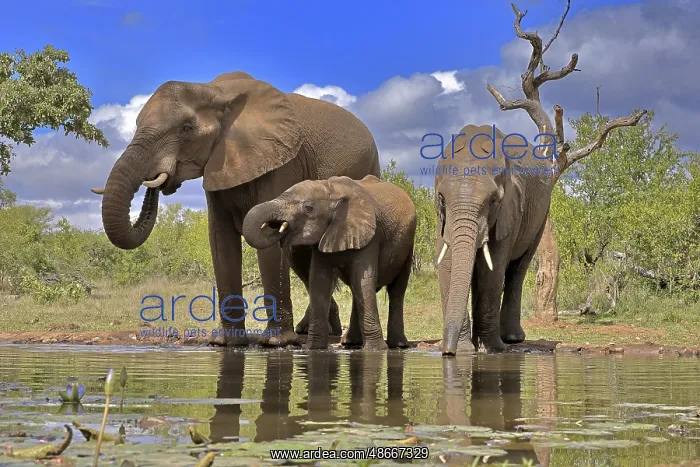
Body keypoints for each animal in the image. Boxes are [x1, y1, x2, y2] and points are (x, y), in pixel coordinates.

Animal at [90, 71, 381, 346]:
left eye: (186, 128)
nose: (156, 181)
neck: (214, 91)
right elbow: (220, 241)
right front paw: (226, 343)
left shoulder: (281, 163)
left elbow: (267, 236)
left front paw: (276, 343)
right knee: (300, 256)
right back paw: (315, 330)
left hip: (368, 169)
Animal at [241, 175, 417, 350]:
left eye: (309, 207)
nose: (277, 229)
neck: (331, 189)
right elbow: (319, 282)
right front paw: (313, 349)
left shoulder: (371, 237)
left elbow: (364, 280)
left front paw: (376, 350)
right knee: (356, 289)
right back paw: (351, 343)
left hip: (408, 246)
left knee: (396, 290)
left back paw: (399, 345)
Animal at [435, 124, 556, 355]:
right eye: (442, 198)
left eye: (493, 201)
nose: (448, 352)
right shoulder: (442, 218)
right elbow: (447, 264)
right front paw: (465, 350)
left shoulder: (510, 208)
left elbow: (493, 269)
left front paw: (490, 349)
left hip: (542, 214)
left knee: (518, 270)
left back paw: (511, 338)